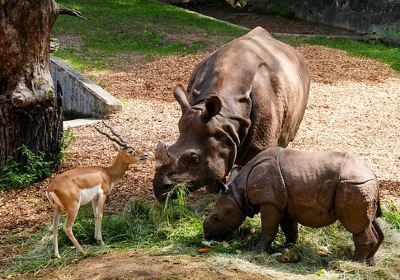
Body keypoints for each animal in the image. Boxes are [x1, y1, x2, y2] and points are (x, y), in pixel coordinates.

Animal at [47, 122, 147, 258]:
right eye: (131, 151)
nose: (145, 156)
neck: (107, 173)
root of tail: (51, 188)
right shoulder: (103, 194)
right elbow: (100, 214)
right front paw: (101, 241)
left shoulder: (94, 198)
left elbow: (94, 215)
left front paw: (95, 238)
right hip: (73, 207)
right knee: (66, 227)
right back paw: (83, 251)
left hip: (57, 209)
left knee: (54, 228)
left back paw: (57, 255)